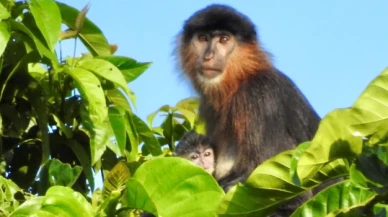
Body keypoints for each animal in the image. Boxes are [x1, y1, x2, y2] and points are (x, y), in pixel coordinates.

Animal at [176, 3, 322, 217]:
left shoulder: (261, 98)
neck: (240, 80)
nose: (208, 56)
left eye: (224, 39)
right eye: (203, 38)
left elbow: (294, 199)